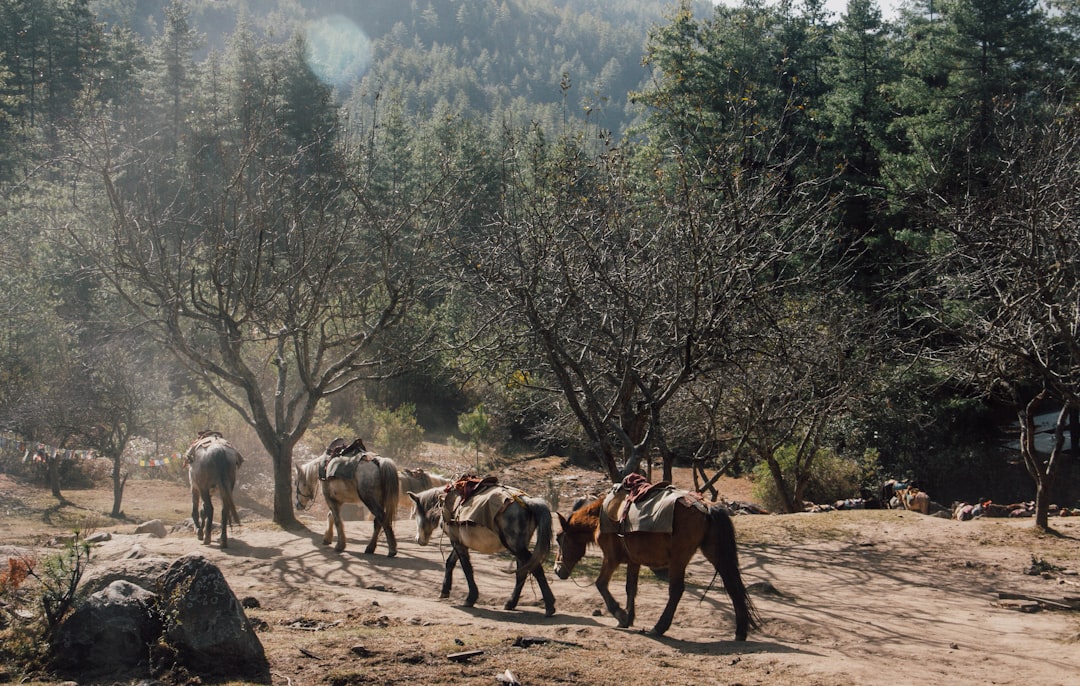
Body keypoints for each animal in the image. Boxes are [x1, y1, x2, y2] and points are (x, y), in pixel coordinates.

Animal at [557, 494, 760, 639]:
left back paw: (659, 627)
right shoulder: (633, 561)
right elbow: (630, 588)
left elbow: (600, 584)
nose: (557, 571)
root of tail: (707, 507)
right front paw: (628, 618)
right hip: (715, 553)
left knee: (676, 590)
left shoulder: (611, 558)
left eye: (559, 538)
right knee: (733, 586)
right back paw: (741, 631)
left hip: (679, 559)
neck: (601, 518)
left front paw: (620, 614)